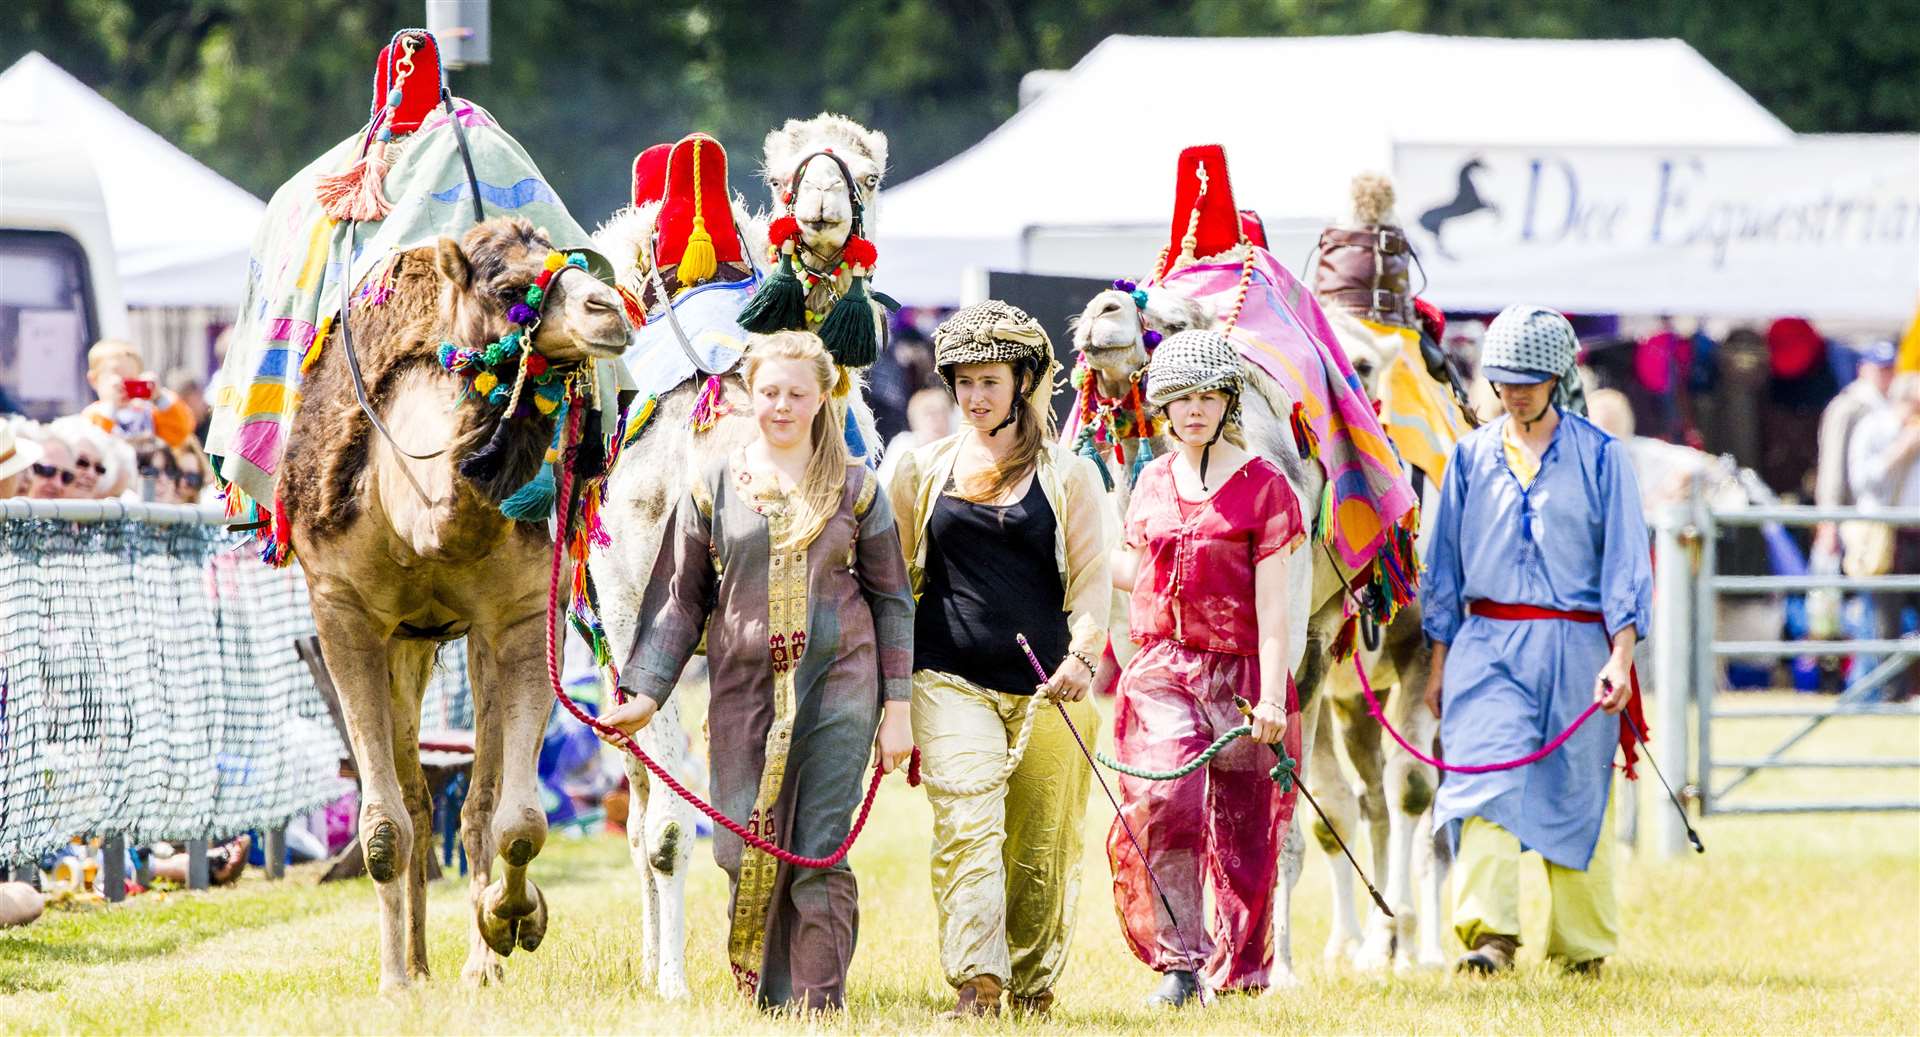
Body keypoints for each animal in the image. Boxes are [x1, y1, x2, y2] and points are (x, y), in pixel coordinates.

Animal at [280, 217, 625, 990]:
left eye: (571, 260)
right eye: (508, 289)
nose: (610, 310)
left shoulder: (524, 612)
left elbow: (518, 819)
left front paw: (512, 921)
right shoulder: (342, 609)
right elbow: (382, 827)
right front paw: (392, 982)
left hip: (461, 638)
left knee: (471, 801)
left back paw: (475, 961)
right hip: (403, 639)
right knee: (414, 795)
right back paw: (414, 961)